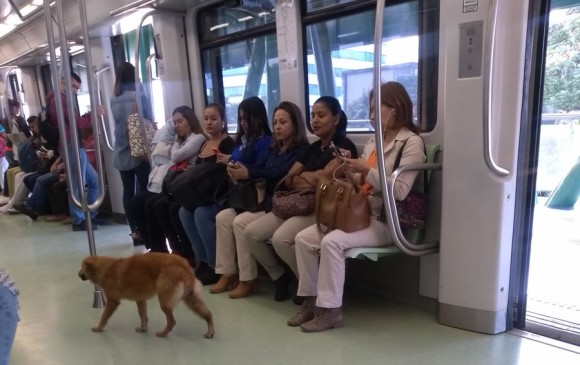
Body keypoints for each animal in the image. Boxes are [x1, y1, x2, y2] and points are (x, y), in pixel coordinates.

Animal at [76, 252, 213, 336]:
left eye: (82, 267)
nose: (78, 274)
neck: (103, 268)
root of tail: (184, 265)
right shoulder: (141, 300)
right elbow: (143, 316)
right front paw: (143, 328)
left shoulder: (112, 302)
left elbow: (104, 317)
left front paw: (99, 328)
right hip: (190, 297)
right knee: (207, 314)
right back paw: (210, 331)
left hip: (164, 301)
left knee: (172, 321)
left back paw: (163, 333)